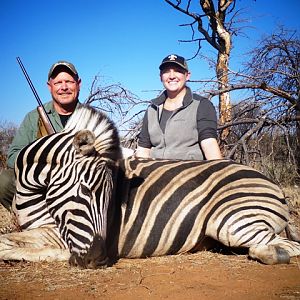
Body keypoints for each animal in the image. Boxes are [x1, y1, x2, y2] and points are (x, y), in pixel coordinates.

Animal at [0, 105, 300, 268]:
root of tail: (272, 184)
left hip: (231, 221)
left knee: (281, 246)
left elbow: (6, 243)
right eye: (85, 190)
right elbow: (9, 239)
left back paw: (274, 254)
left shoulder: (57, 233)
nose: (98, 258)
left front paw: (51, 254)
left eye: (110, 196)